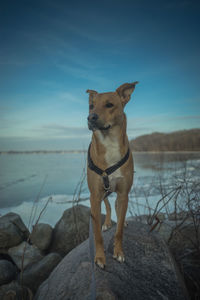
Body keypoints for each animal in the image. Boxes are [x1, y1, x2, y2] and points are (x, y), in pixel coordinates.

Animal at [86, 81, 138, 268]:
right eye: (91, 106)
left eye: (109, 105)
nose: (90, 117)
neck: (109, 142)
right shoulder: (95, 195)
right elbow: (97, 235)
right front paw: (100, 257)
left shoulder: (123, 194)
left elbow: (120, 229)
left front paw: (119, 252)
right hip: (102, 193)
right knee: (108, 206)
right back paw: (107, 223)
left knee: (116, 208)